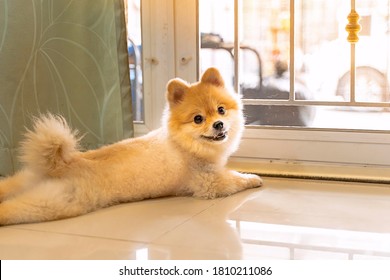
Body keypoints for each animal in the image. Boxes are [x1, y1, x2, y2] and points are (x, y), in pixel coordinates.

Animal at [0, 67, 264, 225]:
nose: (219, 124)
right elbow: (235, 178)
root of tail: (61, 161)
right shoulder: (208, 181)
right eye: (198, 119)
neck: (184, 143)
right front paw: (253, 178)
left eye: (221, 110)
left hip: (25, 181)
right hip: (59, 201)